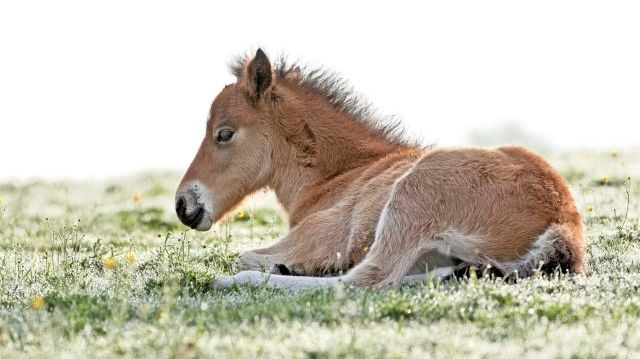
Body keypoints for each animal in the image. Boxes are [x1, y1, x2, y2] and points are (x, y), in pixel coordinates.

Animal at [175, 48, 584, 290]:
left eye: (224, 134)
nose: (183, 205)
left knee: (363, 281)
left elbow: (244, 254)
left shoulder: (320, 238)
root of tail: (565, 223)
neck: (337, 176)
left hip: (414, 194)